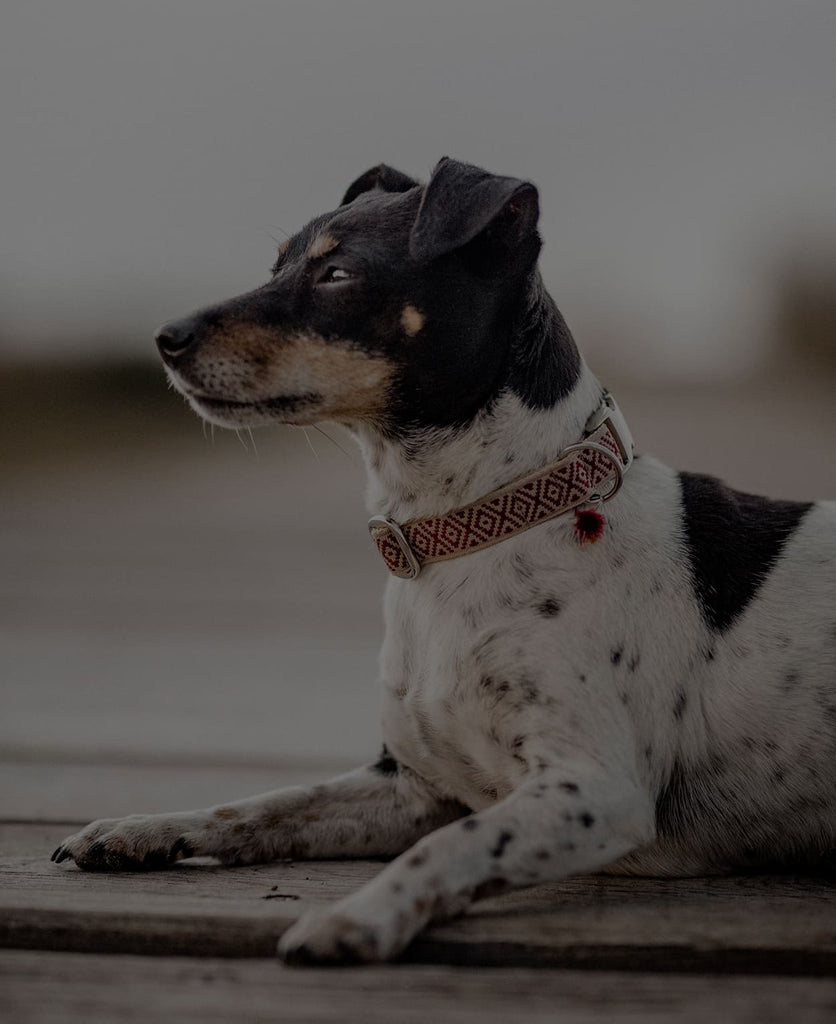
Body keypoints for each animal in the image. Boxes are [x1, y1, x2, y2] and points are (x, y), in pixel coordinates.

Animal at [52, 155, 836, 962]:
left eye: (337, 272)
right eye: (276, 268)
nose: (163, 337)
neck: (462, 538)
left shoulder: (594, 791)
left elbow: (449, 846)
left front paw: (359, 915)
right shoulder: (414, 788)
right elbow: (268, 804)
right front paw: (146, 827)